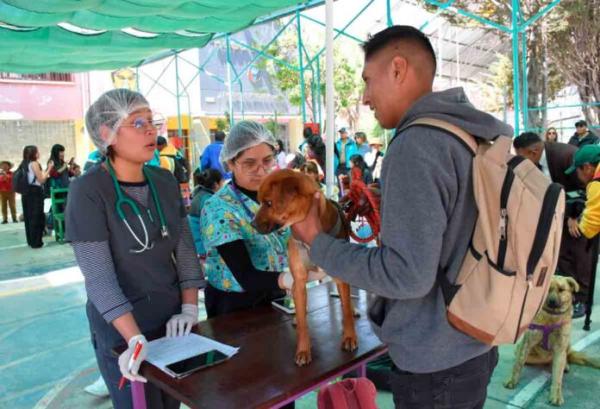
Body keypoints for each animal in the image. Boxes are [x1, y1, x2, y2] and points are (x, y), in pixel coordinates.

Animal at [252, 167, 358, 364]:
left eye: (269, 203)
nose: (252, 224)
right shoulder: (300, 281)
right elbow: (303, 323)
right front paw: (303, 350)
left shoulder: (340, 277)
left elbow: (346, 311)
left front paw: (349, 337)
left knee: (345, 301)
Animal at [504, 274, 600, 404]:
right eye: (548, 290)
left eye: (561, 290)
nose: (552, 301)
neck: (551, 317)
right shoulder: (527, 343)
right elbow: (517, 364)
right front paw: (512, 380)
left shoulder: (560, 349)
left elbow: (558, 377)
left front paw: (556, 395)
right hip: (520, 349)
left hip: (566, 345)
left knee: (564, 360)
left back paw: (565, 365)